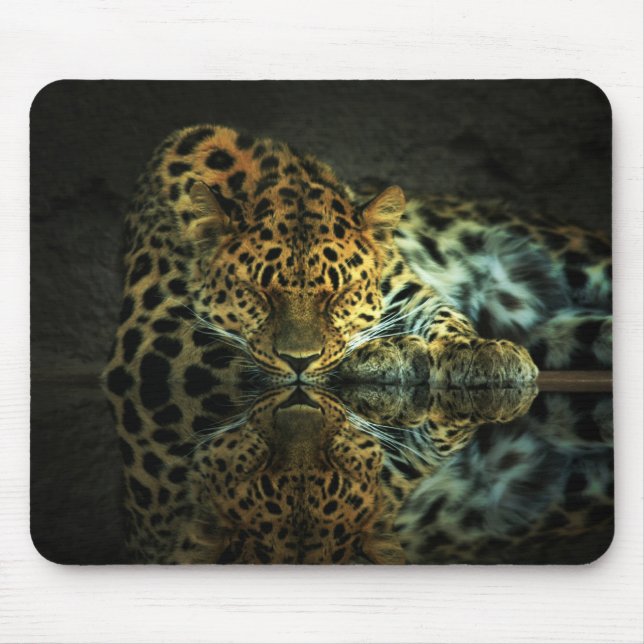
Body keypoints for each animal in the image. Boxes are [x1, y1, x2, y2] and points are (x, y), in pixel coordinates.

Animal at [103, 123, 610, 396]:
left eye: (340, 294)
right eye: (258, 294)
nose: (299, 362)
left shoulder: (407, 289)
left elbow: (443, 313)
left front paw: (477, 352)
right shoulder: (154, 337)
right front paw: (389, 351)